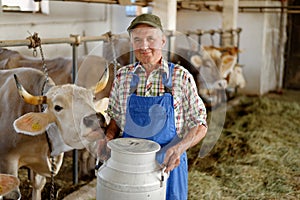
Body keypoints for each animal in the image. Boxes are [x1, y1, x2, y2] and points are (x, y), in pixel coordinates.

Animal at [0, 66, 108, 199]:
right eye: (58, 107)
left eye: (93, 99)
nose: (96, 120)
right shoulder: (7, 161)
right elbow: (12, 194)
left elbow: (38, 184)